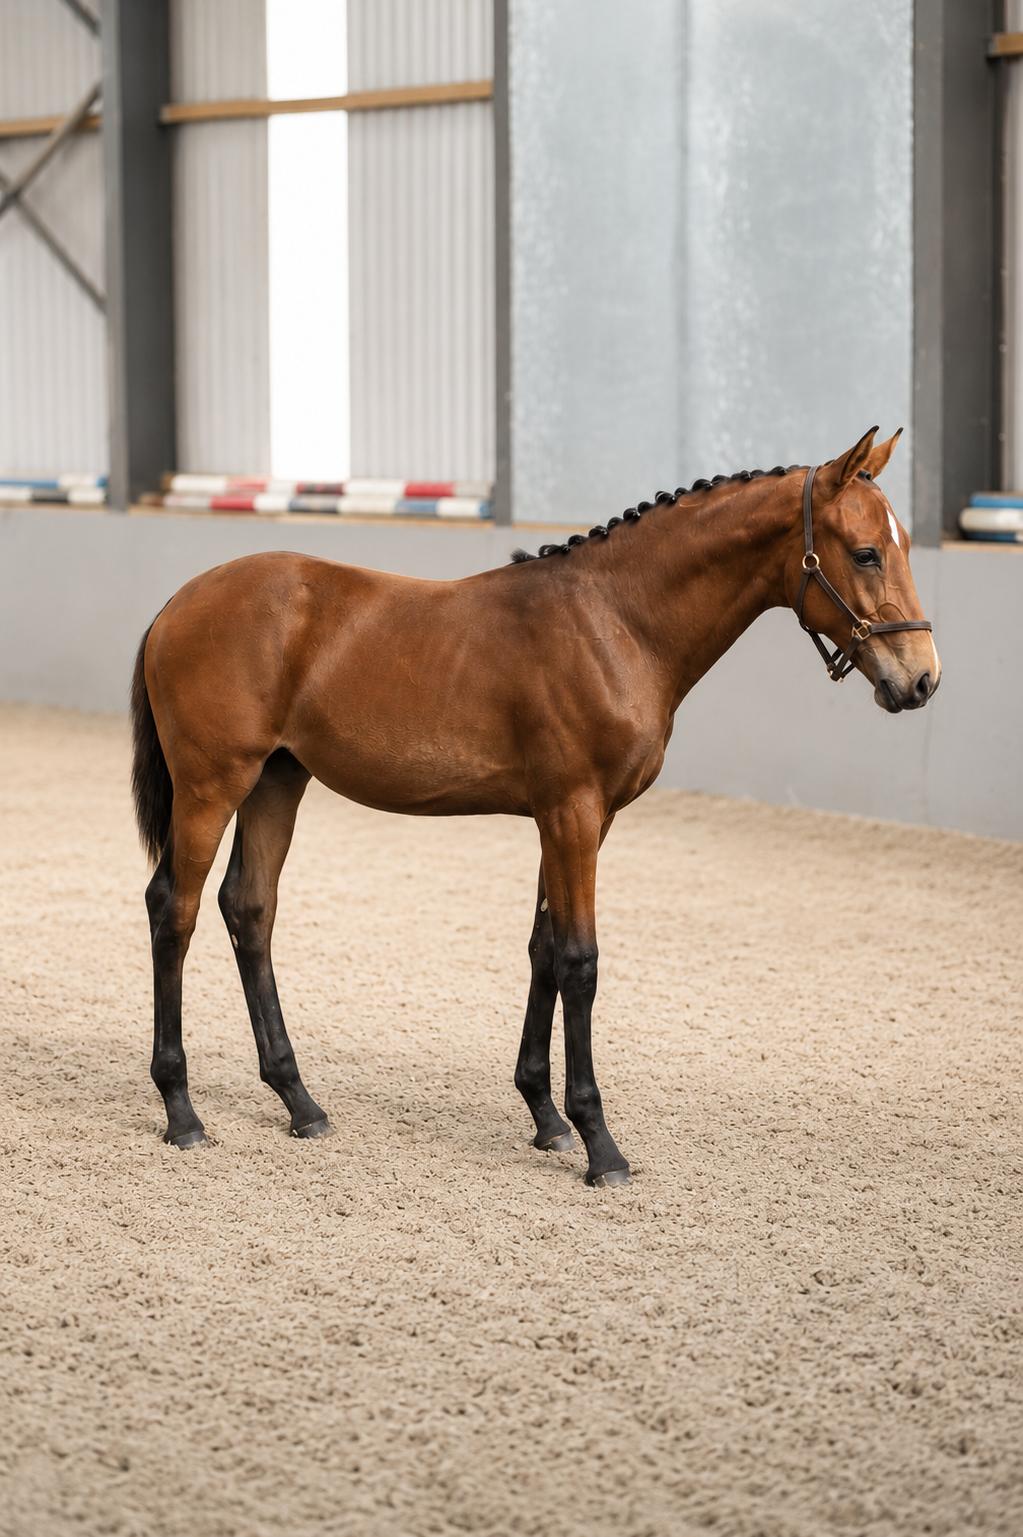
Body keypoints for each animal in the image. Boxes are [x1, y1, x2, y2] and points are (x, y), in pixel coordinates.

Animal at [131, 426, 939, 1186]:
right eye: (866, 552)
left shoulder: (579, 820)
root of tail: (175, 605)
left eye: (901, 545)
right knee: (176, 910)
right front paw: (599, 1143)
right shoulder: (572, 812)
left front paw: (546, 1117)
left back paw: (299, 1101)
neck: (614, 621)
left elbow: (544, 950)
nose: (922, 679)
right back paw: (181, 1109)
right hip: (212, 786)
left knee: (249, 909)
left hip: (276, 782)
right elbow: (579, 961)